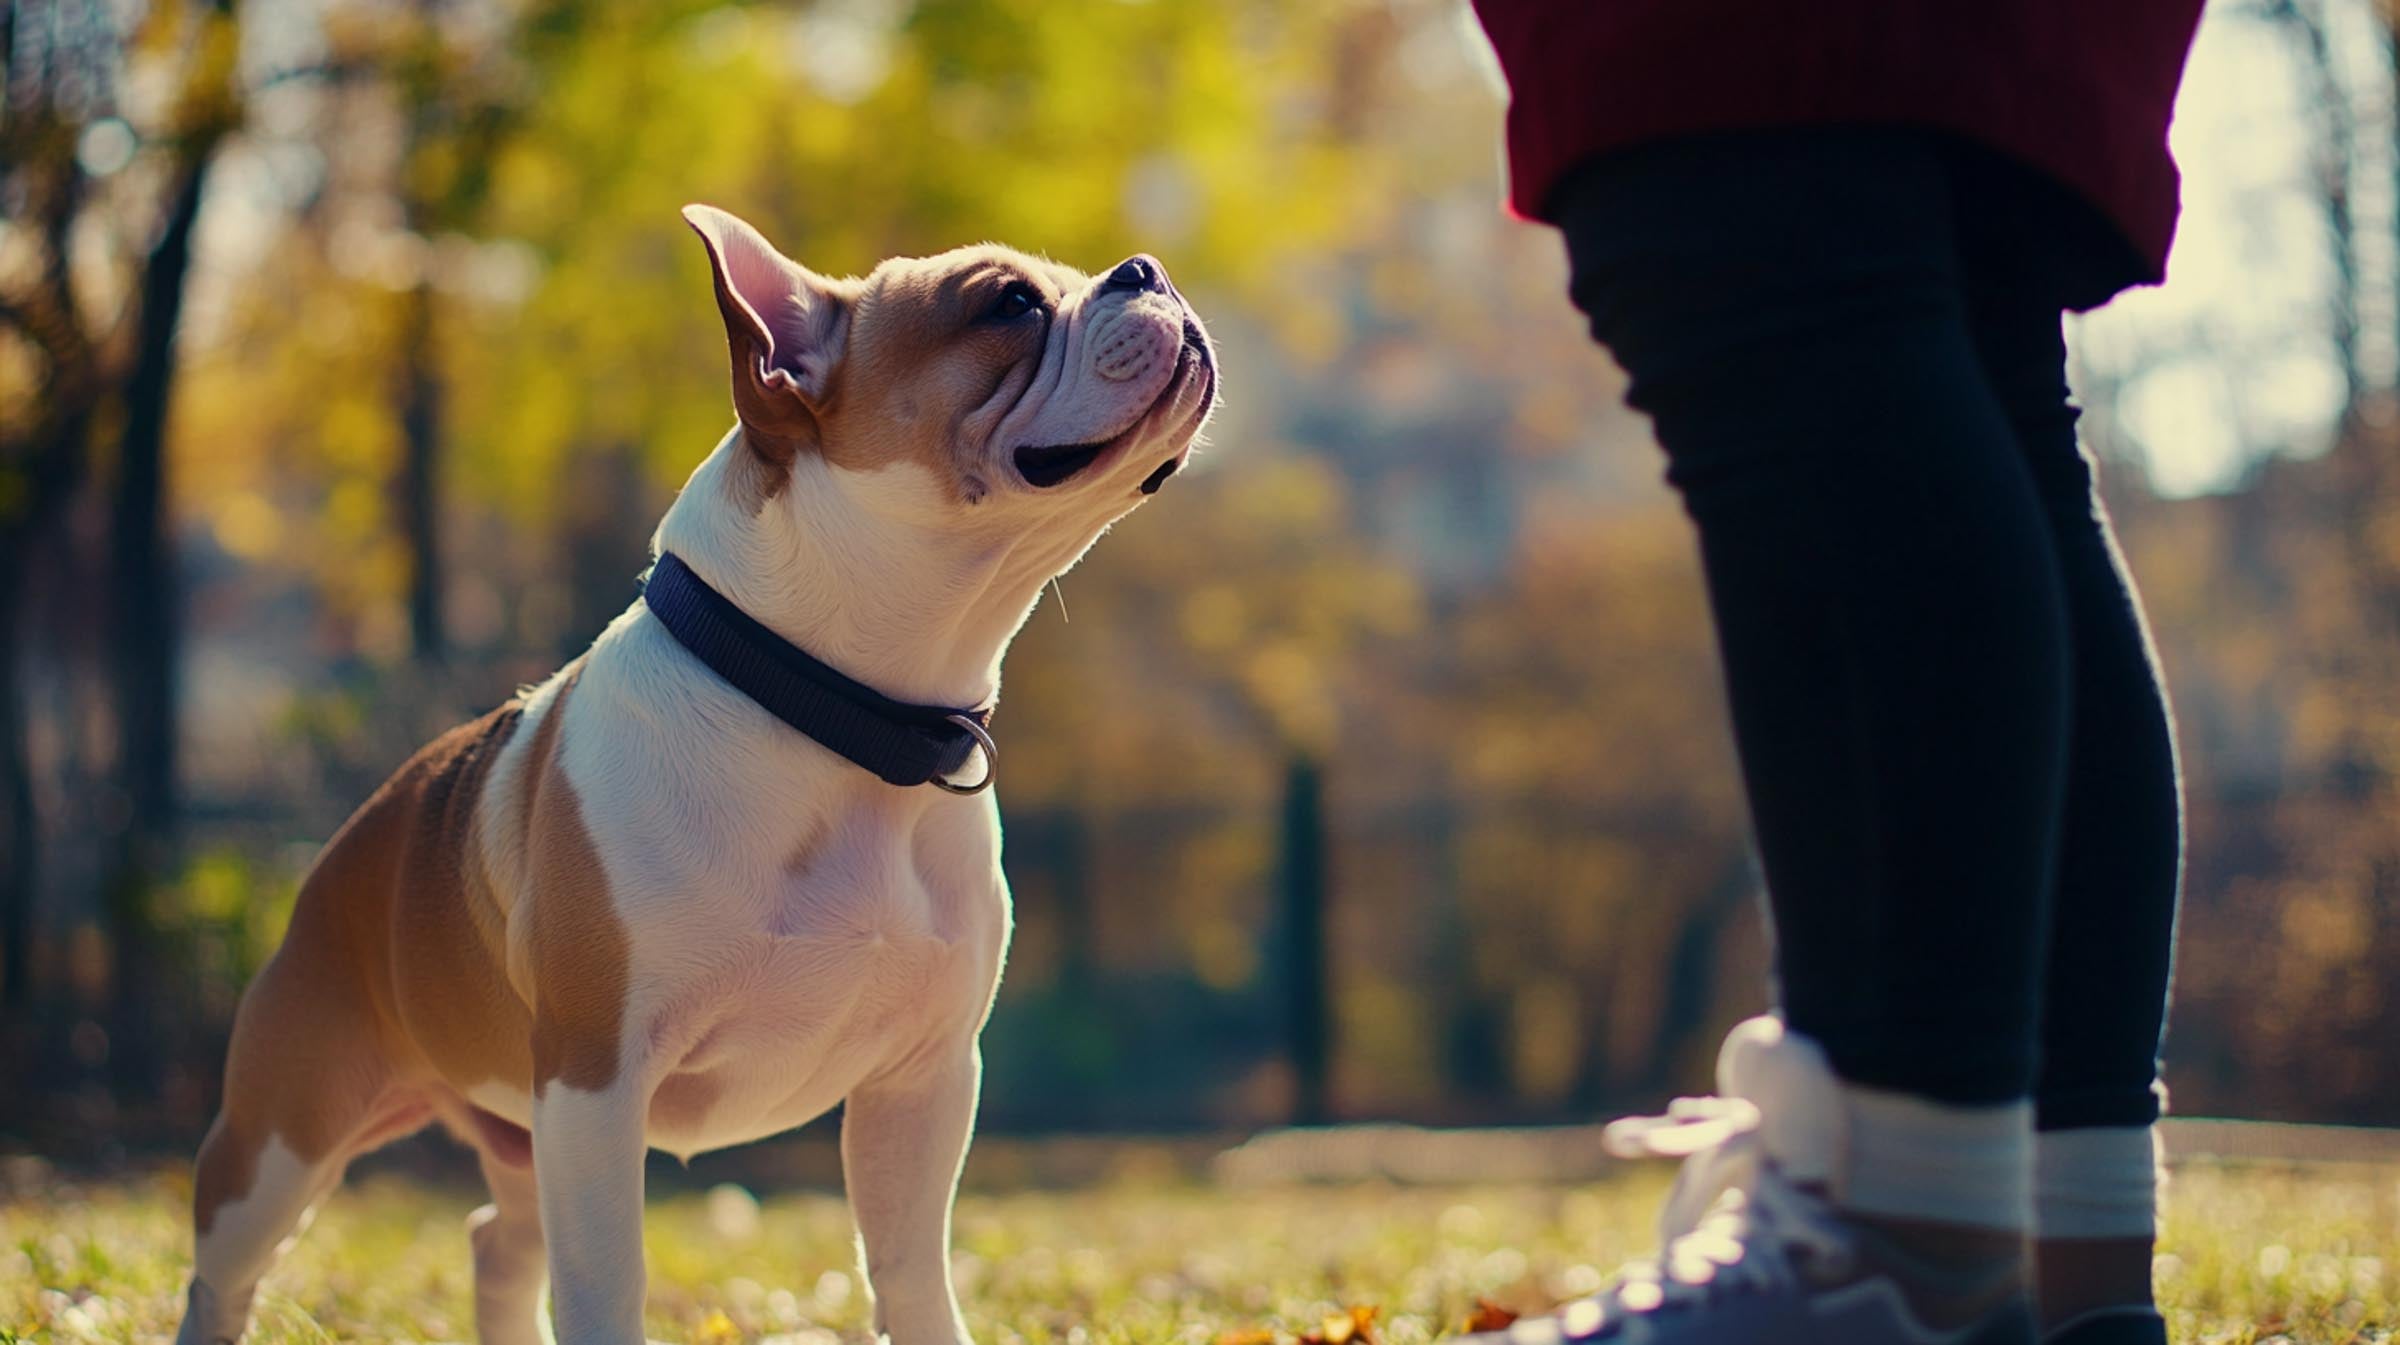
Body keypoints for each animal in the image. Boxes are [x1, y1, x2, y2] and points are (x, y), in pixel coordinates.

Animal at [177, 201, 1219, 1345]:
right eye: (1010, 304)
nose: (1147, 268)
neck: (831, 715)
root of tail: (337, 856)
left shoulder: (924, 1081)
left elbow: (911, 1271)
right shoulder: (594, 1082)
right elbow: (606, 1285)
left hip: (515, 1135)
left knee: (499, 1240)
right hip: (286, 1137)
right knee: (229, 1271)